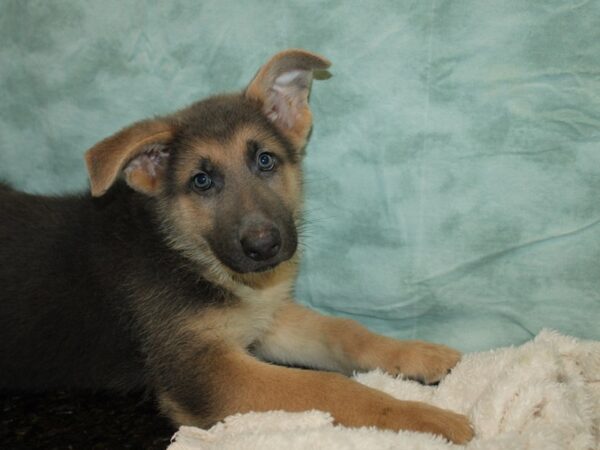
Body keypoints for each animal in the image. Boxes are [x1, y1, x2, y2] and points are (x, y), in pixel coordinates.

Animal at [0, 48, 474, 442]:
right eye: (201, 181)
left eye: (265, 160)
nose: (264, 247)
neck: (188, 255)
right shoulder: (206, 371)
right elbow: (329, 386)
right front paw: (425, 417)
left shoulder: (264, 320)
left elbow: (345, 331)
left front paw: (416, 352)